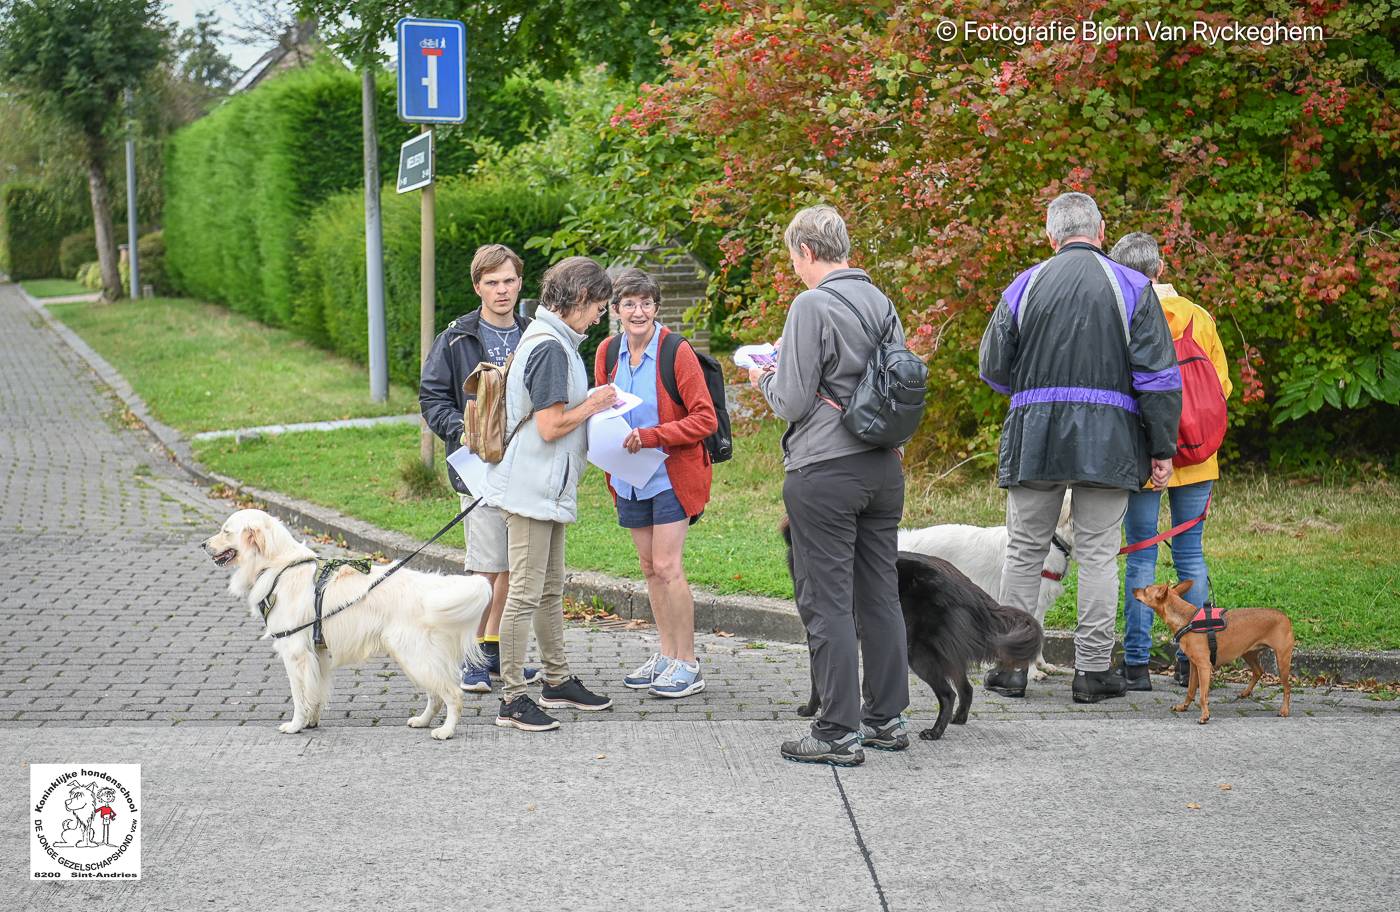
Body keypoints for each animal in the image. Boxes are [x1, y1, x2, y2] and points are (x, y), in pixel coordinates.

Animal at [203, 509, 492, 739]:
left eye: (226, 531)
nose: (203, 544)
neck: (278, 566)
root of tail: (430, 587)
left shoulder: (295, 652)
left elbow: (299, 695)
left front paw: (295, 725)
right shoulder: (317, 653)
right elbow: (316, 692)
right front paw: (311, 722)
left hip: (415, 656)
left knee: (452, 694)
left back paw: (446, 731)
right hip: (416, 659)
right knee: (435, 695)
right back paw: (422, 721)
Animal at [1131, 585, 1293, 728]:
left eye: (1146, 589)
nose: (1133, 589)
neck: (1186, 619)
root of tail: (1284, 616)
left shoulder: (1204, 666)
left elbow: (1203, 695)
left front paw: (1204, 716)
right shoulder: (1194, 666)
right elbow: (1190, 691)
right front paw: (1183, 706)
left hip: (1282, 660)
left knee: (1287, 687)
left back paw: (1284, 710)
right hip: (1248, 653)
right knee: (1259, 671)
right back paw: (1246, 692)